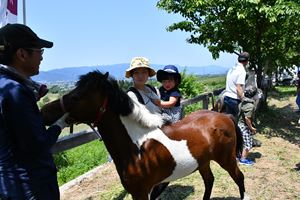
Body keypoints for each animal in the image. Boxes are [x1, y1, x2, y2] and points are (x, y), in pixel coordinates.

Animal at [42, 71, 248, 199]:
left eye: (76, 97)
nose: (44, 112)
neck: (137, 148)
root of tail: (224, 116)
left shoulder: (141, 192)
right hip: (203, 161)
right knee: (209, 181)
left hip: (226, 159)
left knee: (239, 178)